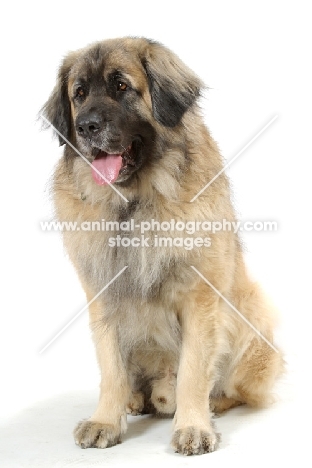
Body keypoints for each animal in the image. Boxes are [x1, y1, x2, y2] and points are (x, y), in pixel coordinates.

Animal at [42, 38, 284, 456]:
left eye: (121, 86)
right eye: (79, 94)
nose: (86, 126)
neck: (134, 202)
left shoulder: (199, 298)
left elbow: (193, 370)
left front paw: (193, 427)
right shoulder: (103, 296)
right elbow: (111, 368)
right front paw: (106, 420)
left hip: (253, 319)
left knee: (235, 388)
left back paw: (209, 403)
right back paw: (136, 400)